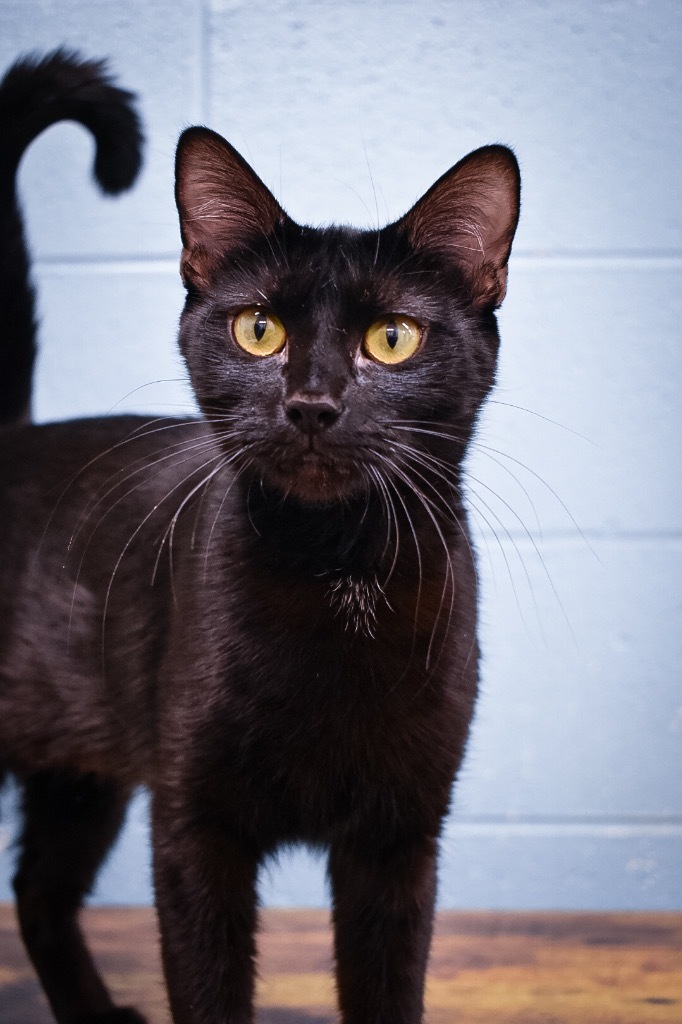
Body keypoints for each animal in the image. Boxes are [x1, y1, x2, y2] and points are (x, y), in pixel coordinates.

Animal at [0, 48, 518, 1024]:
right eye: (258, 329)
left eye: (392, 339)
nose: (312, 402)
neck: (337, 572)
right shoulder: (193, 823)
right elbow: (208, 983)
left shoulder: (398, 838)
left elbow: (387, 987)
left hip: (82, 769)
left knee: (40, 888)